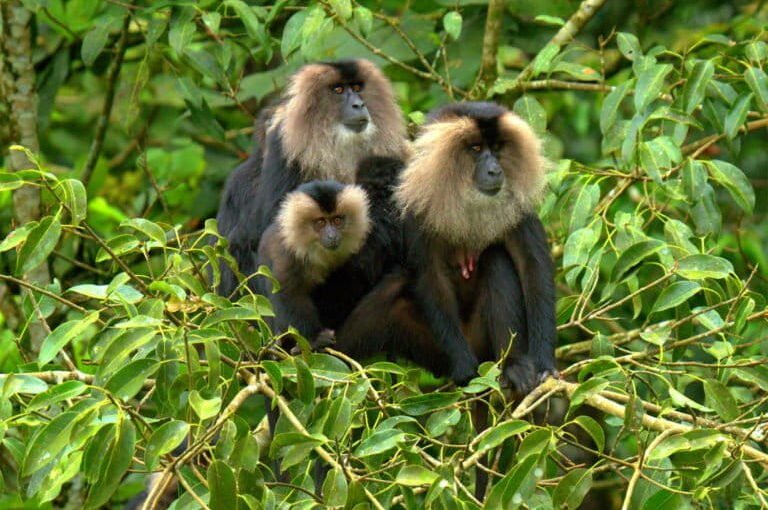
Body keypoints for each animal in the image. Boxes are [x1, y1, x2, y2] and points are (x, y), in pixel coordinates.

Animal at [333, 101, 557, 395]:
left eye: (497, 147)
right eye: (476, 148)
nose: (495, 170)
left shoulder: (519, 207)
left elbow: (533, 269)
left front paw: (545, 363)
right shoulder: (418, 208)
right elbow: (431, 278)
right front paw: (464, 367)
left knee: (496, 258)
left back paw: (514, 365)